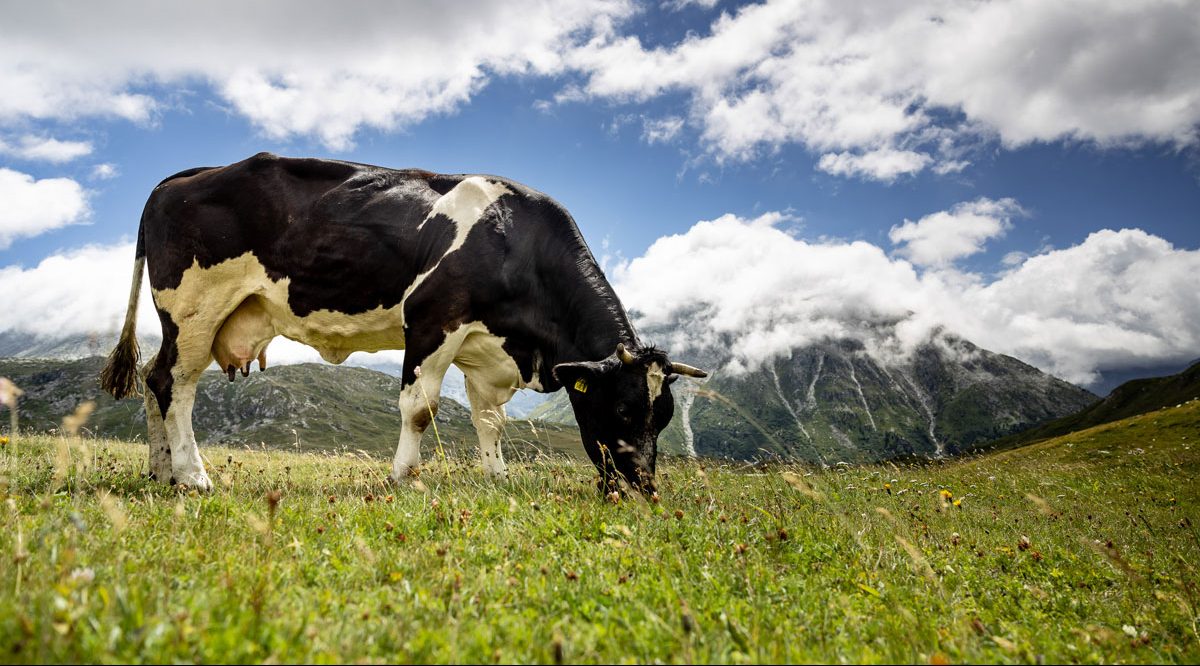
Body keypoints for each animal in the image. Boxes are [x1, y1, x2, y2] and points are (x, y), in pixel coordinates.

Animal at [100, 153, 707, 496]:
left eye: (664, 415)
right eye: (624, 408)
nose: (644, 486)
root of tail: (187, 176)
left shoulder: (485, 350)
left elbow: (489, 422)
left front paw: (498, 479)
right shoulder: (433, 320)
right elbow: (420, 408)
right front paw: (402, 477)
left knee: (155, 383)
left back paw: (161, 472)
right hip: (194, 309)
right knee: (173, 385)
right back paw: (194, 477)